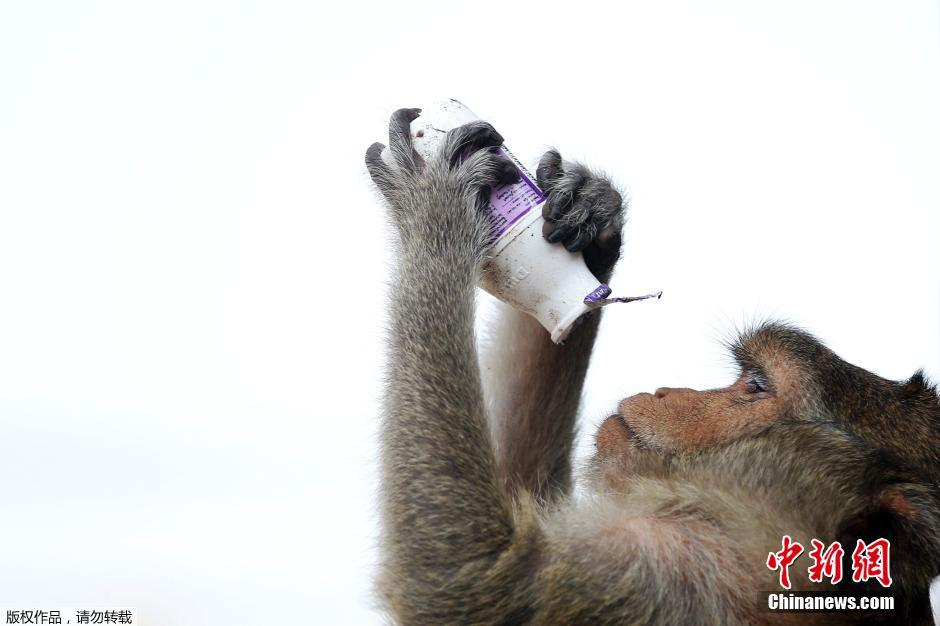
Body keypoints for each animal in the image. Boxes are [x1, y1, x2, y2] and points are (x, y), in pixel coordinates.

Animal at [364, 109, 936, 620]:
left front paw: (436, 203)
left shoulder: (680, 572)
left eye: (755, 382)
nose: (668, 393)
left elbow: (470, 575)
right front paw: (590, 215)